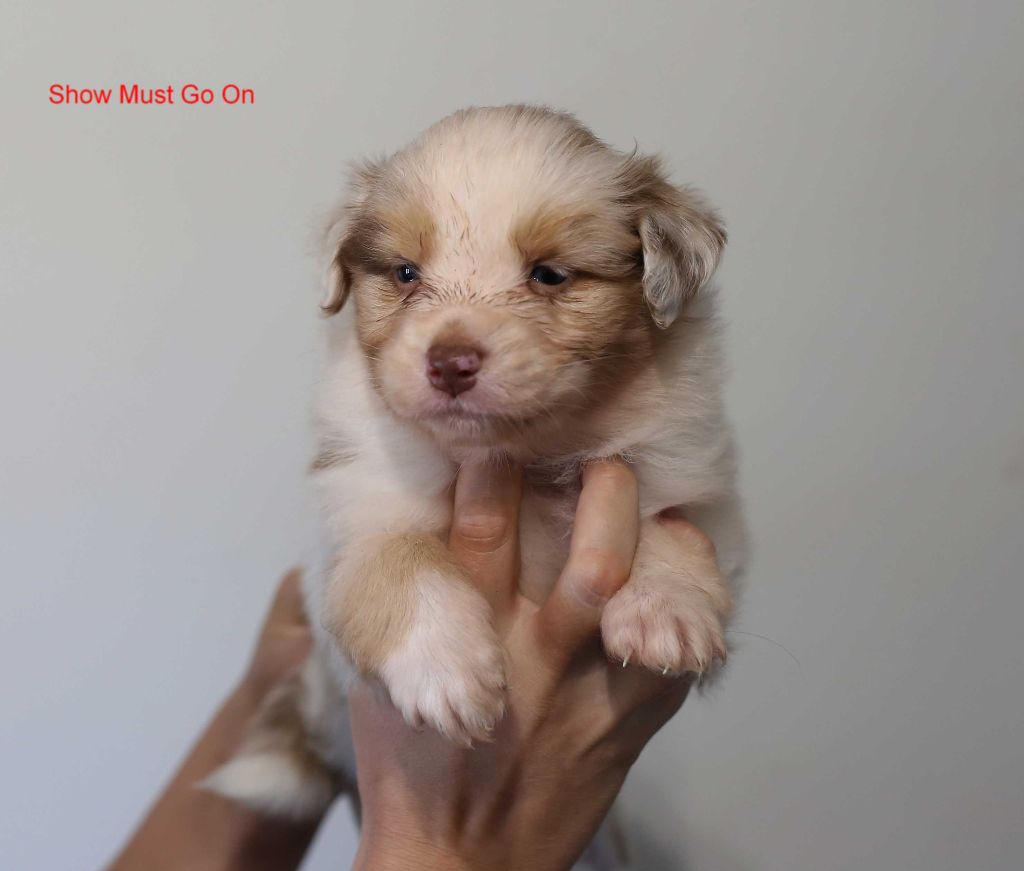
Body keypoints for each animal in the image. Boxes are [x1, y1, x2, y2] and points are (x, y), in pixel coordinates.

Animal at [204, 105, 748, 832]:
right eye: (406, 273)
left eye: (549, 275)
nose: (450, 363)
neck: (525, 458)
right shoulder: (355, 513)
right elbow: (398, 560)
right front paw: (449, 671)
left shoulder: (698, 482)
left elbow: (666, 522)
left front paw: (666, 611)